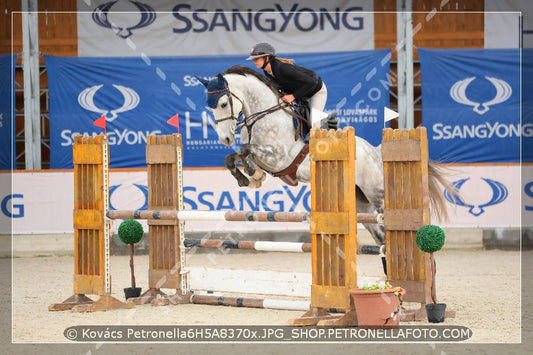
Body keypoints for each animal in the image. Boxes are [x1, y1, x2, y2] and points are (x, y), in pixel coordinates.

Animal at [200, 64, 454, 248]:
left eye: (223, 103)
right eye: (210, 106)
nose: (225, 139)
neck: (264, 114)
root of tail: (375, 150)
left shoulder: (280, 157)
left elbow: (246, 151)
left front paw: (252, 175)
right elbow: (234, 157)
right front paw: (251, 178)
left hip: (377, 195)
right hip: (360, 203)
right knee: (380, 237)